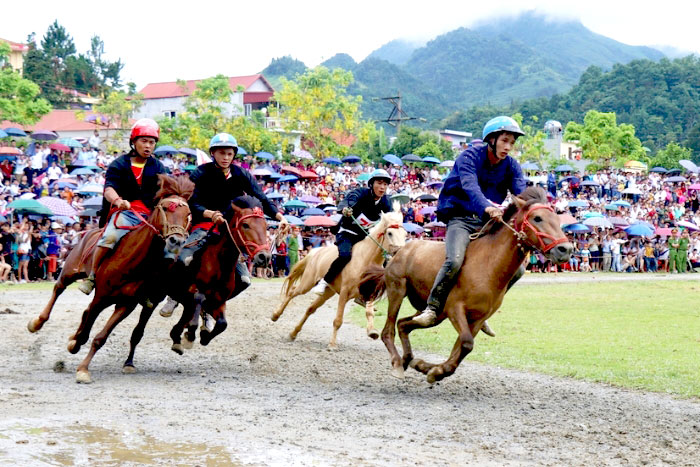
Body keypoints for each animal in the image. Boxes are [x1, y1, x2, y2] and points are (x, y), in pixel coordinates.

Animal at [28, 176, 194, 384]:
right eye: (165, 208)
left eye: (188, 214)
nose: (176, 241)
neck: (133, 260)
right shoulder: (101, 297)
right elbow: (86, 331)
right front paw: (77, 353)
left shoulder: (126, 304)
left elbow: (101, 336)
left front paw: (82, 366)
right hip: (70, 270)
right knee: (59, 288)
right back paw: (37, 322)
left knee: (85, 311)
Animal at [167, 195, 270, 354]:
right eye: (245, 225)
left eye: (265, 225)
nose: (264, 257)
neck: (219, 266)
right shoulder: (192, 293)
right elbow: (196, 302)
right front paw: (188, 335)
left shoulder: (219, 302)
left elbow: (222, 324)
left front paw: (202, 336)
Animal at [270, 203, 408, 350]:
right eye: (390, 233)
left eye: (405, 234)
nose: (401, 254)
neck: (366, 260)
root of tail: (315, 252)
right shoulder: (344, 292)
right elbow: (338, 320)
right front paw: (332, 344)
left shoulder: (370, 292)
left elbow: (370, 312)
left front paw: (372, 331)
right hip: (307, 283)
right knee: (292, 292)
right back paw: (275, 315)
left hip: (327, 292)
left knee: (310, 309)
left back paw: (293, 333)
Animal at [358, 188, 572, 386]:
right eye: (537, 218)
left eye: (558, 219)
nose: (566, 249)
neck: (488, 264)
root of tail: (399, 251)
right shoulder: (455, 310)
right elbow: (467, 344)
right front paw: (434, 370)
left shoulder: (477, 319)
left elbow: (460, 350)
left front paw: (429, 368)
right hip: (397, 291)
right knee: (388, 330)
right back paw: (397, 363)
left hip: (434, 314)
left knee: (404, 324)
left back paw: (407, 359)